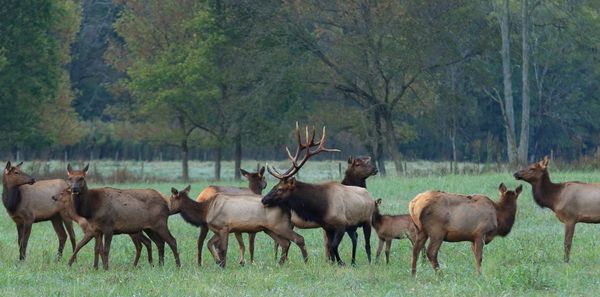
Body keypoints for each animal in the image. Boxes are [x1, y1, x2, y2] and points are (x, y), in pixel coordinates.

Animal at [262, 122, 376, 264]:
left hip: (367, 221)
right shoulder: (328, 227)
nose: (263, 199)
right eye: (275, 186)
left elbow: (332, 246)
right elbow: (331, 246)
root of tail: (369, 195)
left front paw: (338, 262)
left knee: (367, 243)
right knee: (280, 242)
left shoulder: (340, 225)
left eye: (279, 188)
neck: (321, 206)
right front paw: (336, 262)